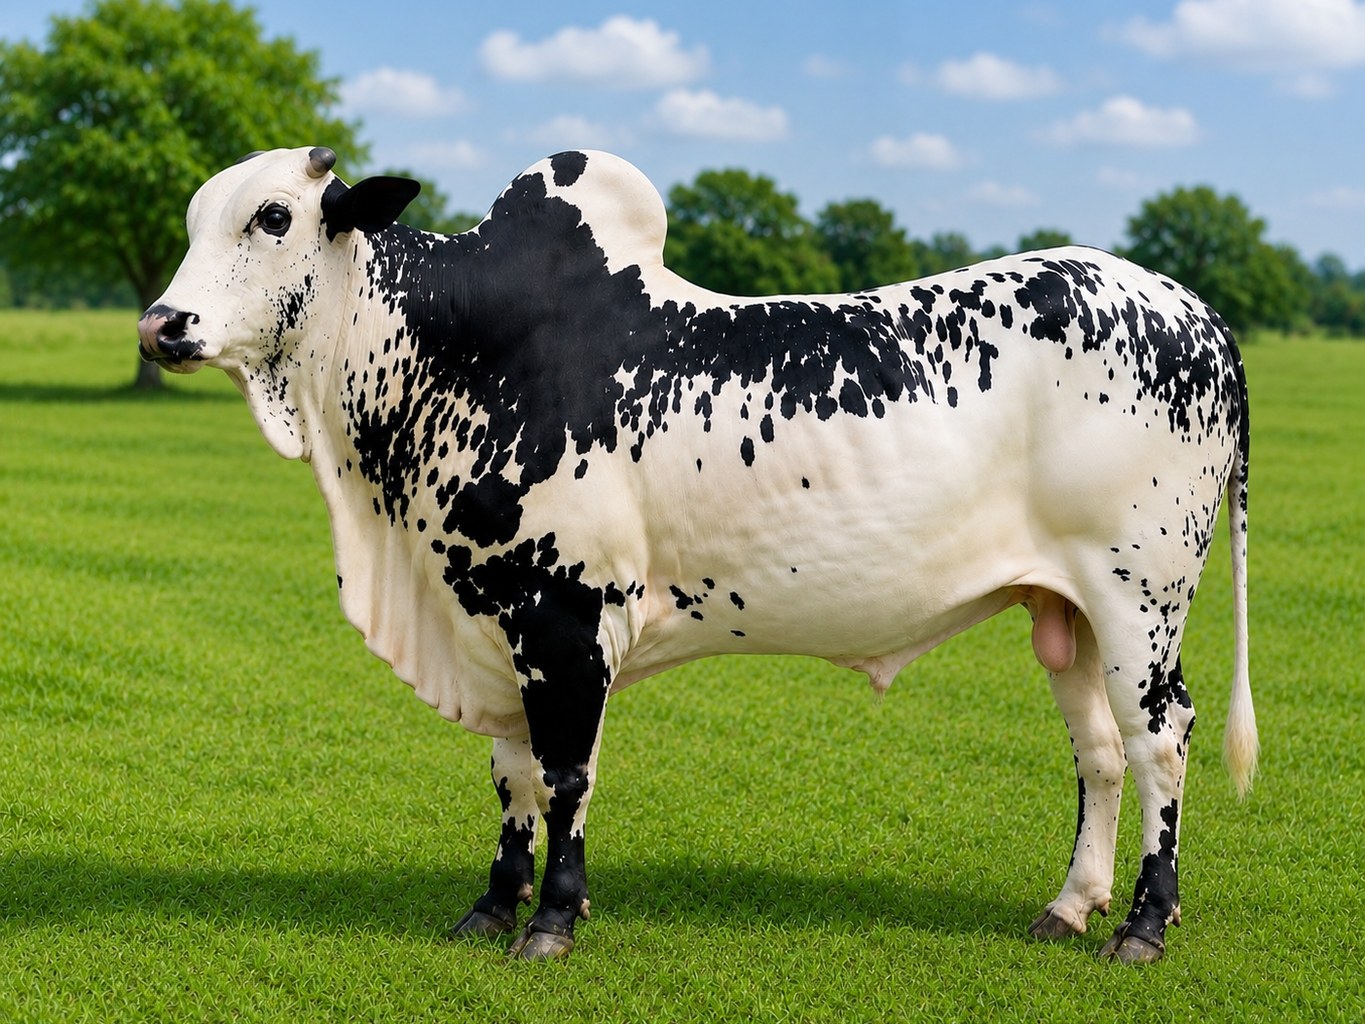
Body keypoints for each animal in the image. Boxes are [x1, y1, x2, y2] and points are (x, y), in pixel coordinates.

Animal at [138, 146, 1256, 964]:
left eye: (272, 217)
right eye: (194, 220)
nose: (162, 324)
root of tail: (1191, 307)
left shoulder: (565, 616)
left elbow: (564, 773)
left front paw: (552, 921)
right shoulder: (493, 621)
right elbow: (509, 776)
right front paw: (490, 909)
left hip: (1140, 597)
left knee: (1160, 739)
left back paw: (1142, 926)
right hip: (1062, 606)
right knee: (1098, 749)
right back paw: (1070, 906)